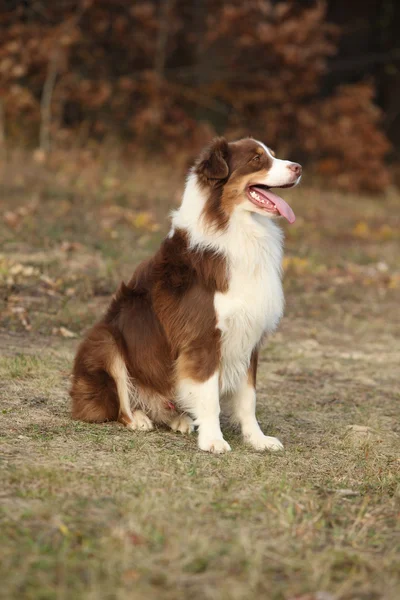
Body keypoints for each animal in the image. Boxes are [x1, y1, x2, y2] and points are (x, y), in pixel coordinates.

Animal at [70, 138, 302, 452]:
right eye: (256, 159)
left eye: (273, 155)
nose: (298, 168)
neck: (235, 227)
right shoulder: (203, 336)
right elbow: (209, 395)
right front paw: (213, 439)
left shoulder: (249, 335)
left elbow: (248, 398)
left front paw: (257, 439)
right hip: (105, 340)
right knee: (118, 406)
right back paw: (139, 418)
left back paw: (178, 419)